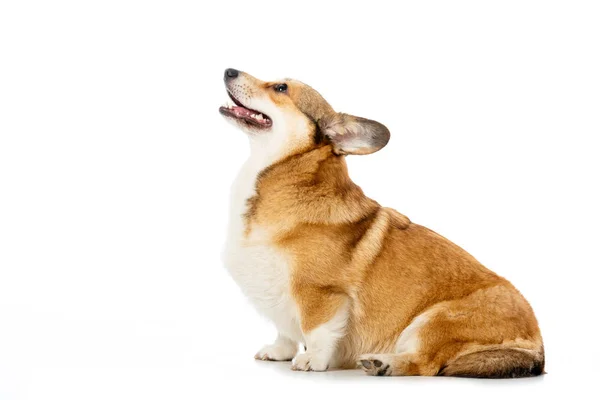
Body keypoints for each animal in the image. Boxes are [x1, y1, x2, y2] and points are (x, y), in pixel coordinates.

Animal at [219, 67, 544, 376]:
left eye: (280, 87)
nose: (229, 70)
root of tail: (537, 346)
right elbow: (285, 330)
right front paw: (279, 351)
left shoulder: (319, 293)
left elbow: (317, 330)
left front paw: (312, 360)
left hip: (433, 320)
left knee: (424, 364)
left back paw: (383, 364)